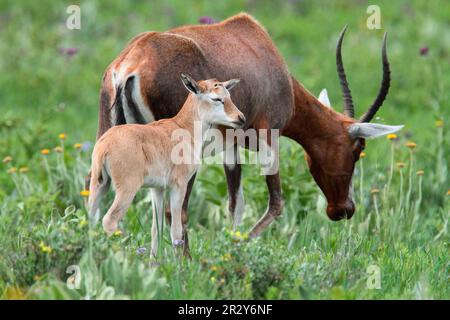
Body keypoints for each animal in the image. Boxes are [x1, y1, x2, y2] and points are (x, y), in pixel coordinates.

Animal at [87, 74, 243, 255]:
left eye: (229, 95)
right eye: (216, 98)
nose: (241, 118)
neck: (182, 127)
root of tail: (105, 144)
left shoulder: (158, 189)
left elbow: (156, 228)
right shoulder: (178, 186)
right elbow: (176, 230)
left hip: (100, 185)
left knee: (90, 218)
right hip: (127, 189)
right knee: (109, 220)